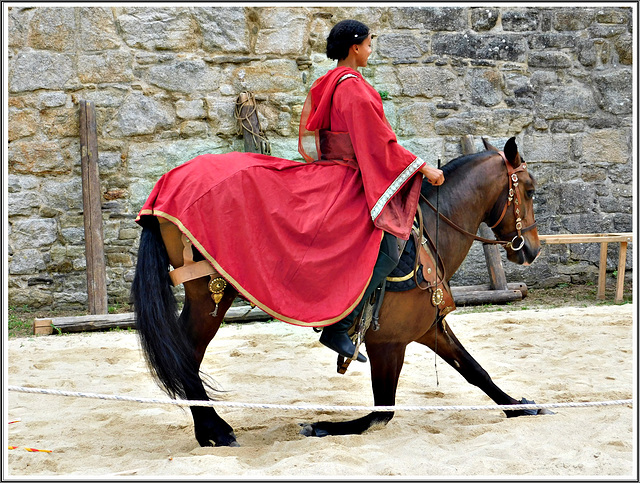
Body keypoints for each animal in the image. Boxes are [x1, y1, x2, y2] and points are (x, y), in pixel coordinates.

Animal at [132, 135, 544, 446]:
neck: (432, 230)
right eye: (530, 190)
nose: (532, 249)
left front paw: (520, 406)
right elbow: (381, 413)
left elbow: (476, 372)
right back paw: (213, 430)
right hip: (210, 296)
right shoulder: (388, 343)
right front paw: (321, 426)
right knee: (185, 355)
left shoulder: (429, 328)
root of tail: (163, 192)